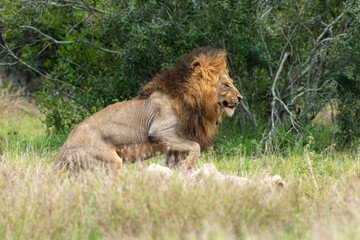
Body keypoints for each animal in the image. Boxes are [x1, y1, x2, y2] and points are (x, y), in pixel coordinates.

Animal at [54, 47, 242, 172]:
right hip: (109, 161)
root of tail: (63, 148)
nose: (240, 98)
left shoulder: (174, 148)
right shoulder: (159, 132)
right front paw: (188, 165)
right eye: (227, 85)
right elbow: (195, 147)